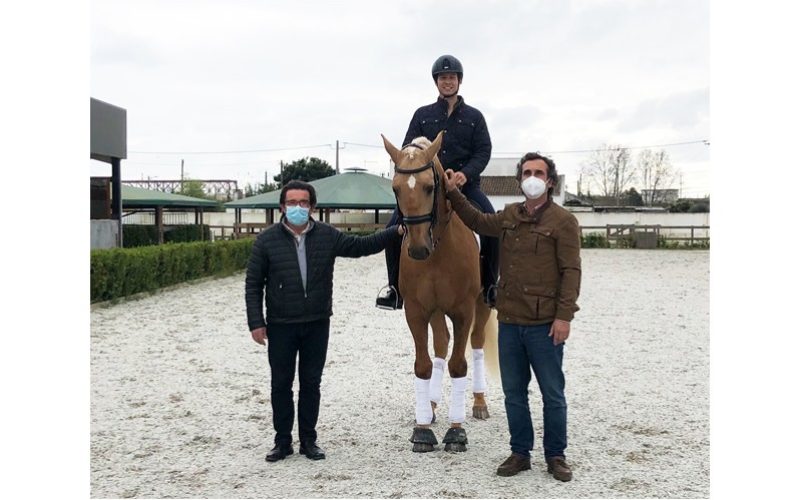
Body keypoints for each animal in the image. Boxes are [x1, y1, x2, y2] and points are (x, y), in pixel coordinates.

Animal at [381, 130, 499, 453]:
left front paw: (456, 432)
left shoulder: (463, 311)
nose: (418, 249)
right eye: (395, 188)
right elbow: (423, 365)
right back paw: (431, 405)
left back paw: (479, 403)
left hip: (482, 305)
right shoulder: (417, 311)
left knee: (477, 343)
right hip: (435, 311)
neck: (438, 247)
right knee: (441, 345)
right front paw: (422, 429)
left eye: (430, 187)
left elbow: (459, 365)